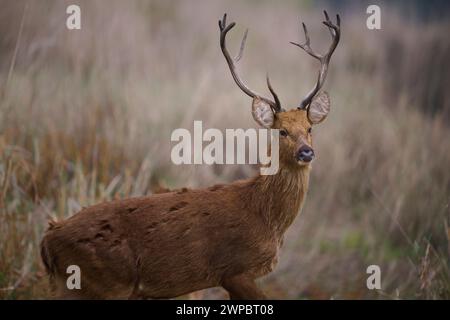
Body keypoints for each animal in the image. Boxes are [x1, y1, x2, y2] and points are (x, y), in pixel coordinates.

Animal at [40, 10, 340, 300]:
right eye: (282, 131)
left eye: (309, 128)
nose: (307, 151)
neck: (266, 217)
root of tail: (47, 241)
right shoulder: (235, 270)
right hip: (104, 283)